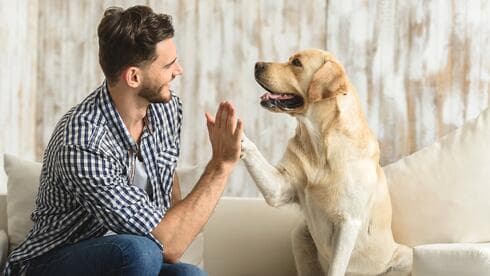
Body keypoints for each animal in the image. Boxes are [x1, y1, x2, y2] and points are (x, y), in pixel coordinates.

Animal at [241, 48, 414, 274]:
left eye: (297, 63)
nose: (257, 64)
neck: (319, 143)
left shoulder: (348, 222)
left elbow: (336, 268)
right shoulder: (279, 188)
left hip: (405, 255)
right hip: (300, 235)